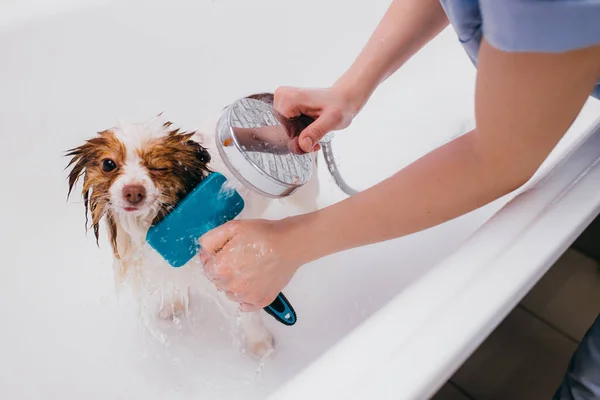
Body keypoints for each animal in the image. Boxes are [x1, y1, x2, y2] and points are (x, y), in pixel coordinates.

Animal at [65, 94, 322, 360]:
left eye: (159, 167)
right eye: (108, 164)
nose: (134, 192)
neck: (151, 221)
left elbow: (248, 313)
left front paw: (261, 345)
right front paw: (173, 305)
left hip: (302, 194)